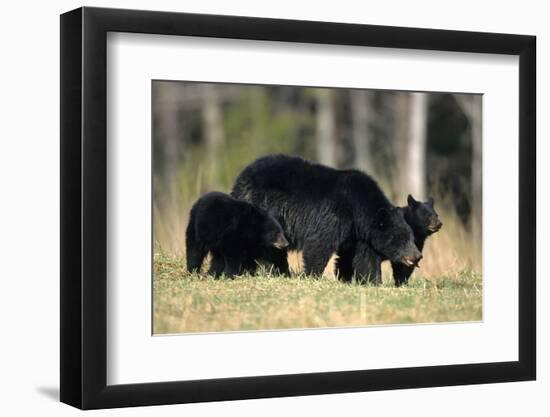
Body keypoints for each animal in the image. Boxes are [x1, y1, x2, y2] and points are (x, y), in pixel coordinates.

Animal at [232, 154, 422, 284]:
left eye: (411, 237)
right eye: (402, 239)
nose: (417, 256)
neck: (358, 210)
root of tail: (241, 176)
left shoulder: (359, 235)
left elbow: (363, 257)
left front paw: (371, 280)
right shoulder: (334, 215)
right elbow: (319, 244)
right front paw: (312, 275)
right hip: (262, 208)